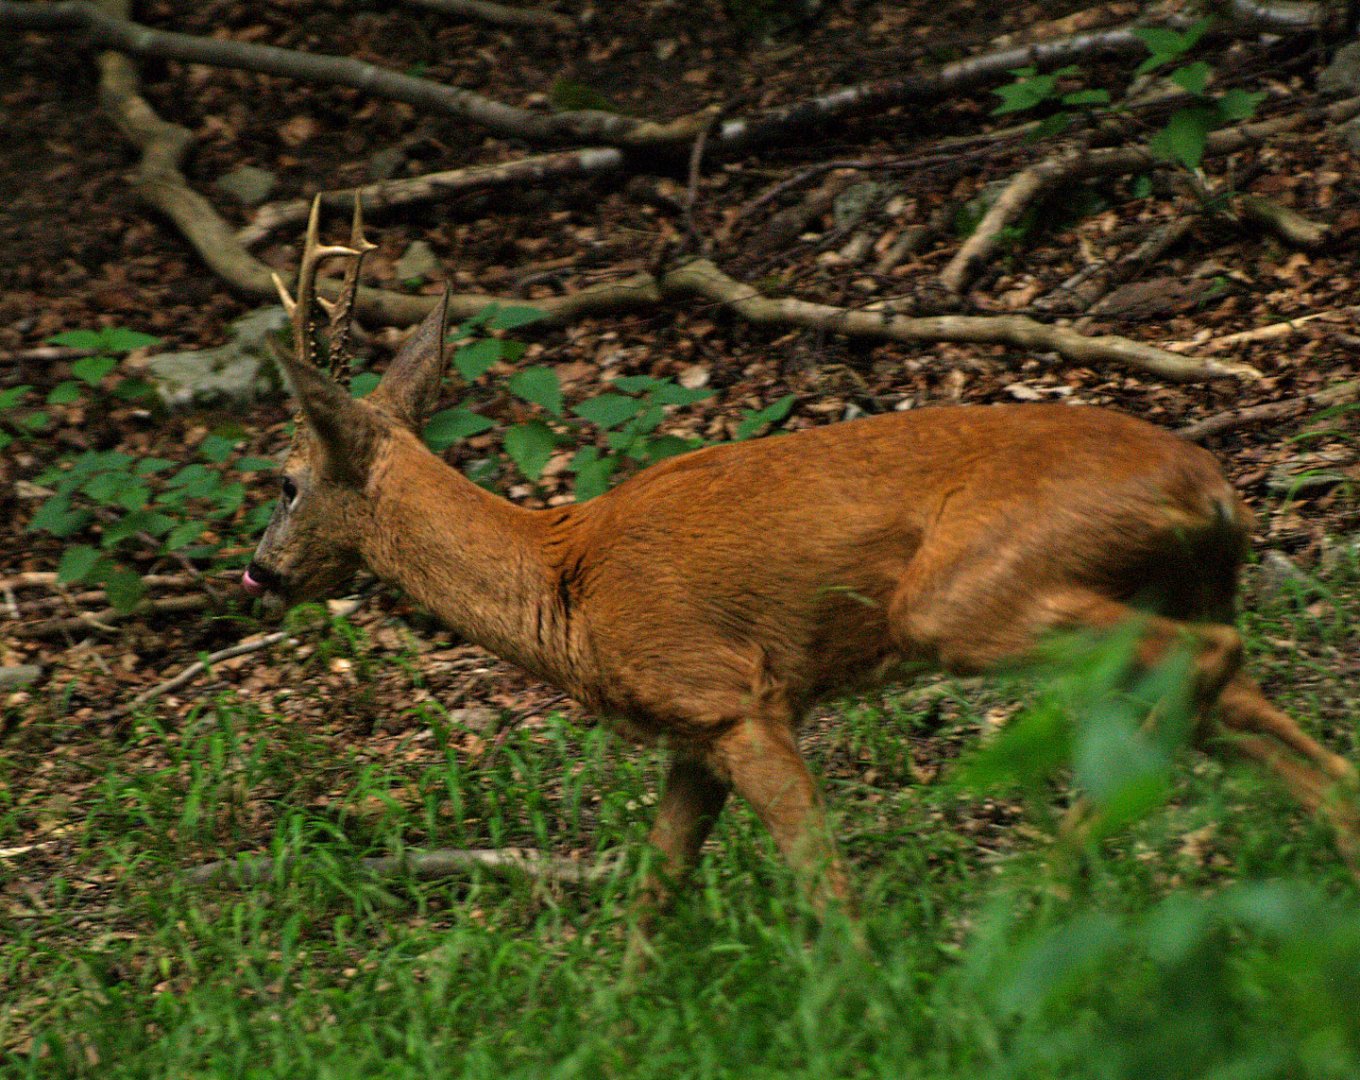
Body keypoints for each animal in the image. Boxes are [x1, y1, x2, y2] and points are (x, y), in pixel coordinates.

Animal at [244, 197, 1359, 942]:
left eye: (288, 481)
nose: (260, 573)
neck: (561, 583)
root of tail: (1213, 487)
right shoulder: (689, 735)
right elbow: (651, 896)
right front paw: (618, 1017)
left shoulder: (730, 695)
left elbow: (822, 882)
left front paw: (863, 998)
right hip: (1146, 589)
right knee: (1259, 714)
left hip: (970, 594)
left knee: (1202, 663)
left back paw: (1047, 885)